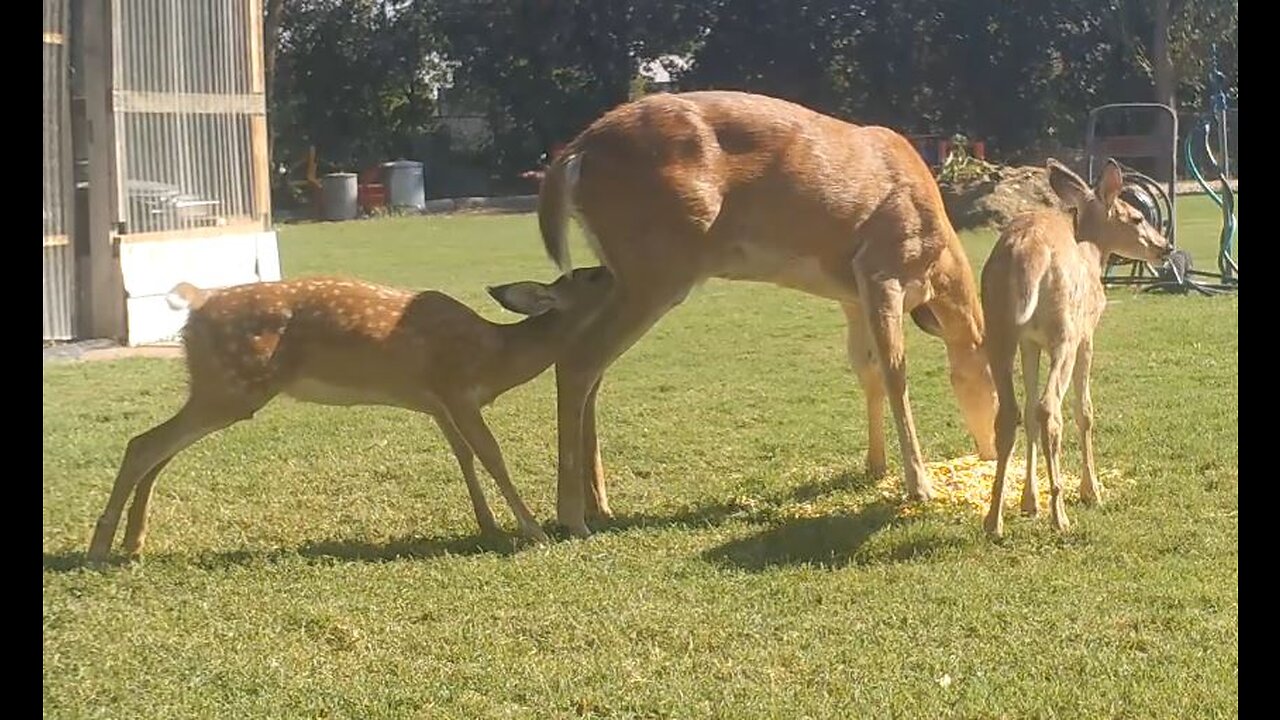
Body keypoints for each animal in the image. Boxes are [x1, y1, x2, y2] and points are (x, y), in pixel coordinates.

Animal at [86, 266, 614, 558]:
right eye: (588, 275)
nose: (612, 269)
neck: (497, 354)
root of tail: (197, 302)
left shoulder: (436, 402)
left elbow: (464, 457)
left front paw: (490, 526)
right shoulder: (457, 390)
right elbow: (492, 456)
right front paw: (533, 531)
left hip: (219, 387)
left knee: (158, 451)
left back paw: (133, 542)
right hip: (232, 387)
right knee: (143, 444)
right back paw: (99, 549)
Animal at [529, 89, 998, 535]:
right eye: (997, 387)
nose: (991, 450)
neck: (937, 264)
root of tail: (575, 153)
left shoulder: (851, 297)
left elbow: (867, 372)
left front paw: (875, 467)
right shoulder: (883, 267)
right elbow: (895, 372)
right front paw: (919, 486)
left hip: (619, 272)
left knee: (591, 365)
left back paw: (598, 503)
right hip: (656, 265)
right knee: (578, 360)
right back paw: (572, 515)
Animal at [983, 159, 1172, 535]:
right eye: (1137, 217)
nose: (1165, 247)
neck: (1094, 254)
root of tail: (1027, 253)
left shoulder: (1029, 341)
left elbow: (1027, 411)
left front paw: (1029, 502)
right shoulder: (1087, 334)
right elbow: (1084, 410)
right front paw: (1091, 491)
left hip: (998, 328)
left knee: (1012, 411)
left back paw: (994, 519)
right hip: (1064, 333)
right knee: (1049, 408)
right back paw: (1060, 516)